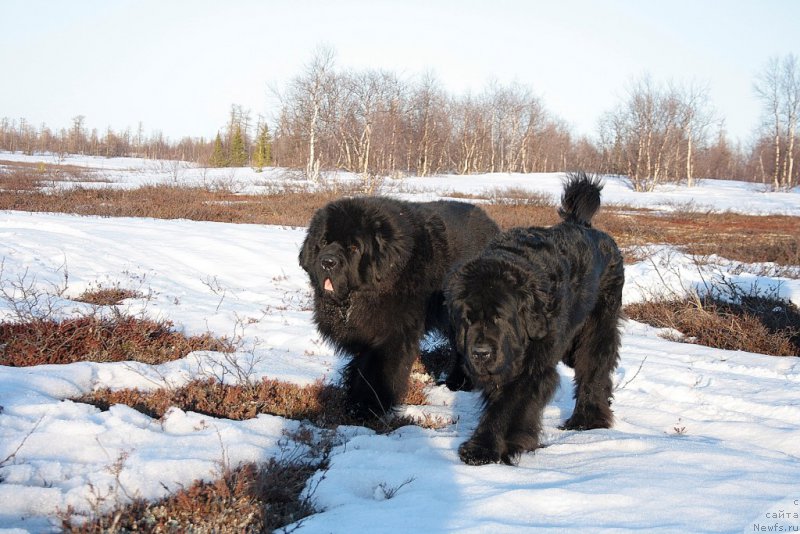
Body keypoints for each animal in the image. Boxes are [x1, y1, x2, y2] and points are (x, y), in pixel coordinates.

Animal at [302, 197, 500, 418]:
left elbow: (376, 371)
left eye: (353, 247)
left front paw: (367, 408)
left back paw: (459, 383)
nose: (327, 262)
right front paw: (353, 403)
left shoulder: (392, 334)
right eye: (323, 243)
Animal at [444, 174, 624, 466]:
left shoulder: (531, 365)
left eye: (500, 317)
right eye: (467, 319)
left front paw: (482, 448)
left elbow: (506, 406)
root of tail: (583, 224)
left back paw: (586, 420)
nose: (481, 353)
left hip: (600, 324)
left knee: (594, 368)